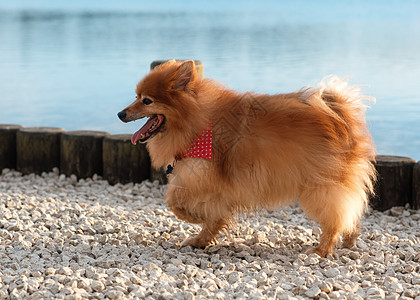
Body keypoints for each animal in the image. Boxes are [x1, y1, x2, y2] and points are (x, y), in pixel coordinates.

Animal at [116, 59, 376, 256]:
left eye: (147, 101)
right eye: (136, 96)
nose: (120, 113)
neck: (196, 122)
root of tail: (340, 114)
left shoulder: (203, 178)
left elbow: (175, 202)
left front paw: (193, 218)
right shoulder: (212, 185)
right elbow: (207, 215)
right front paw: (200, 240)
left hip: (320, 186)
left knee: (336, 216)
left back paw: (323, 249)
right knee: (351, 211)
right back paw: (349, 240)